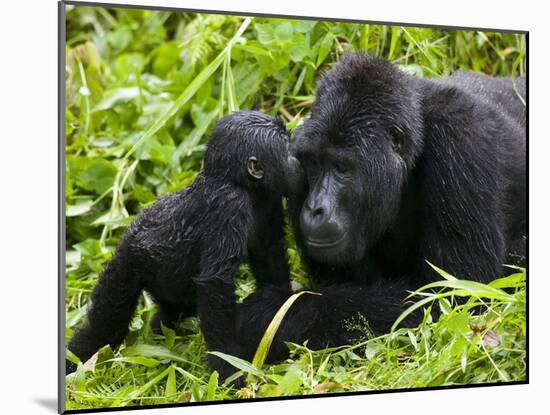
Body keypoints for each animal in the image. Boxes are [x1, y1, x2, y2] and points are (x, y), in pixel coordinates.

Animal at [68, 110, 306, 380]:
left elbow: (268, 254)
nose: (299, 162)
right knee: (106, 325)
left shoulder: (269, 198)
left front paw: (282, 308)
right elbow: (216, 283)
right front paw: (227, 366)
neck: (237, 181)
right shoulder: (229, 205)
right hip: (126, 263)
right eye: (287, 150)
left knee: (172, 310)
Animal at [236, 52, 528, 364]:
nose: (315, 208)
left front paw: (267, 314)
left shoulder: (462, 140)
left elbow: (453, 295)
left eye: (341, 167)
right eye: (313, 163)